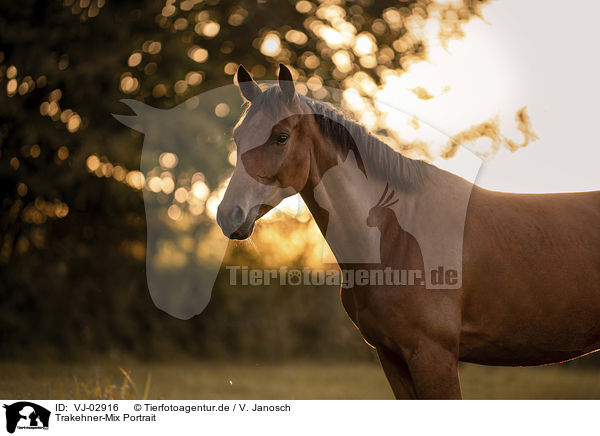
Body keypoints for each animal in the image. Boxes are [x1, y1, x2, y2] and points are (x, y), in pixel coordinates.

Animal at [218, 63, 600, 400]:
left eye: (281, 138)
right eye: (238, 137)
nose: (227, 215)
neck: (395, 238)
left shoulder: (433, 357)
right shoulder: (392, 357)